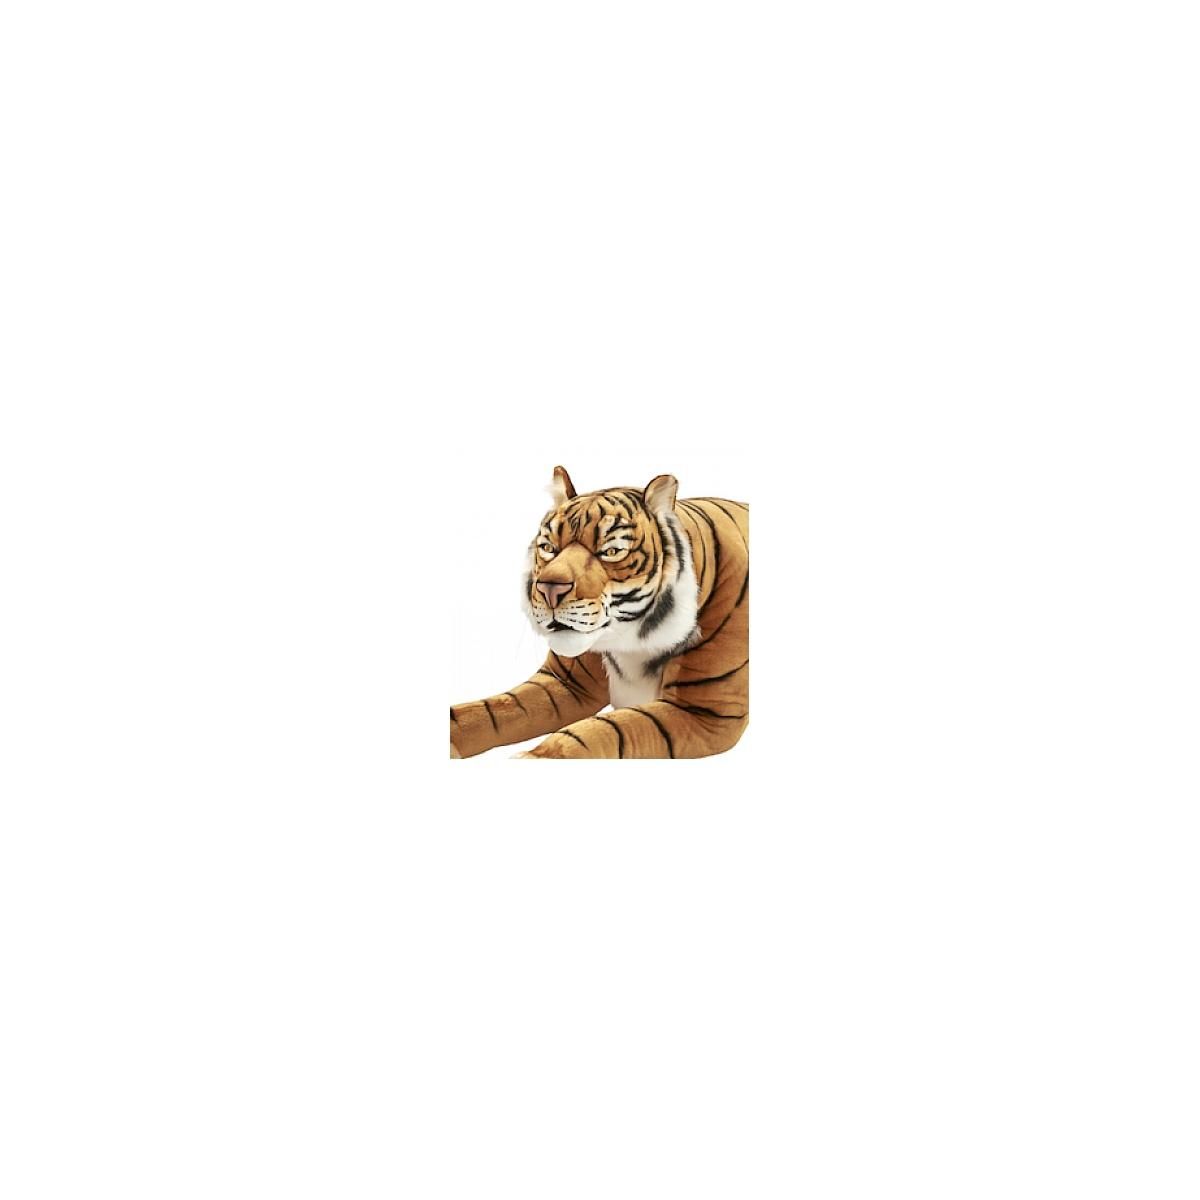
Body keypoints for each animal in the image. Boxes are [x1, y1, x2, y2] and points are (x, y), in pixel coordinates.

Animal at [450, 466, 749, 759]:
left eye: (611, 551)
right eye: (548, 548)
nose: (549, 589)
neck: (632, 643)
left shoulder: (702, 711)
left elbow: (606, 729)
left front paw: (537, 756)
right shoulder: (564, 682)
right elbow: (490, 710)